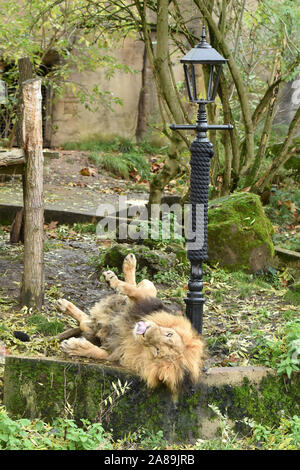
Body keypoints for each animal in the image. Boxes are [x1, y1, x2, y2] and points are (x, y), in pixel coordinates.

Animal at [57, 253, 205, 396]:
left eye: (157, 350)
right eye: (169, 334)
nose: (146, 332)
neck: (131, 337)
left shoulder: (118, 352)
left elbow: (99, 353)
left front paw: (74, 347)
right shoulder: (147, 303)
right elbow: (137, 290)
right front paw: (115, 281)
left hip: (92, 326)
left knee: (84, 322)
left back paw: (64, 306)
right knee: (143, 285)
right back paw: (126, 264)